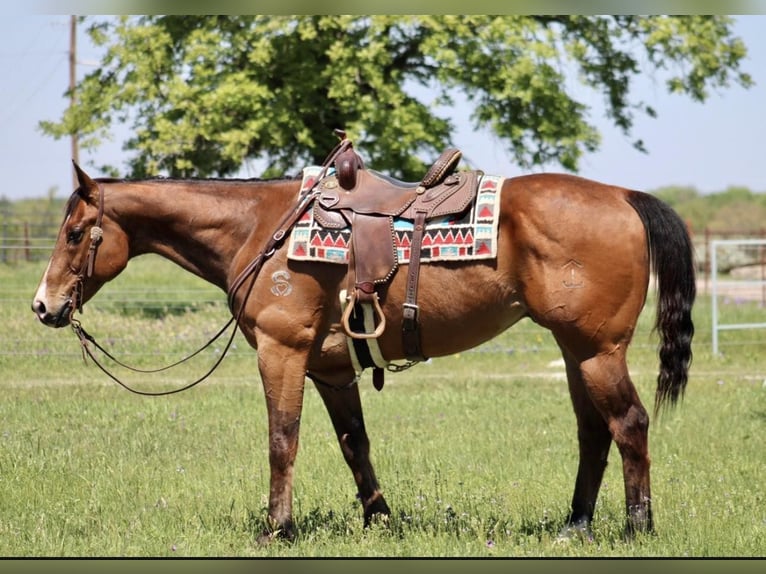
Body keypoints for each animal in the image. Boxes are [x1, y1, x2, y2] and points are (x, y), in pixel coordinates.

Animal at [34, 160, 696, 544]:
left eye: (75, 233)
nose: (44, 306)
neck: (260, 230)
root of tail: (623, 195)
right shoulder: (331, 369)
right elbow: (355, 444)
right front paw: (380, 520)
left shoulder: (282, 352)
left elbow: (282, 440)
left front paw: (278, 529)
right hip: (575, 350)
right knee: (594, 432)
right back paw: (574, 527)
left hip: (597, 350)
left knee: (629, 424)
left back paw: (637, 529)